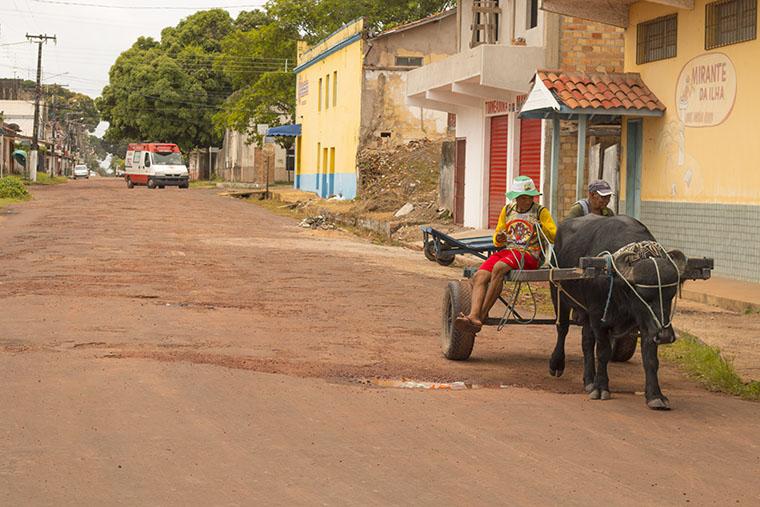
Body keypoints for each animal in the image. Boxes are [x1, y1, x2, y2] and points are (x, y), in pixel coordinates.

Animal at [548, 216, 684, 410]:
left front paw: (655, 396)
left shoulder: (647, 324)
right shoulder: (598, 317)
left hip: (586, 314)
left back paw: (589, 380)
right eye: (643, 295)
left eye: (670, 295)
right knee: (563, 329)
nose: (665, 335)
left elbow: (650, 358)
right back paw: (557, 364)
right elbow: (603, 352)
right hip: (558, 293)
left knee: (586, 342)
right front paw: (601, 388)